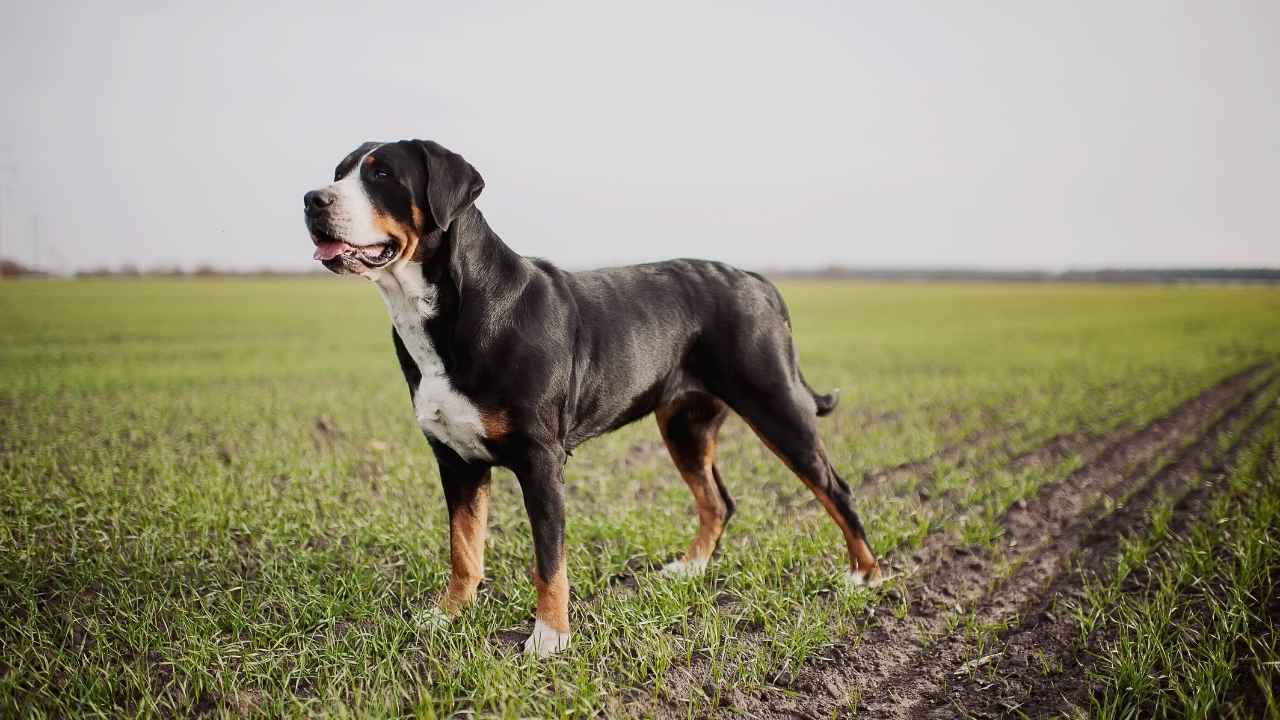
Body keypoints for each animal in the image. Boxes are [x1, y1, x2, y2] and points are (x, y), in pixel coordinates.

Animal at [300, 137, 880, 653]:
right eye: (339, 171)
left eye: (381, 174)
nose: (312, 199)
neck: (442, 312)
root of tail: (756, 280)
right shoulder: (455, 460)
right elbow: (464, 549)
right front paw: (447, 616)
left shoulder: (540, 459)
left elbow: (549, 560)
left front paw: (549, 637)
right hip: (684, 425)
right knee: (718, 500)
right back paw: (688, 569)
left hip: (776, 405)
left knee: (836, 489)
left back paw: (865, 575)